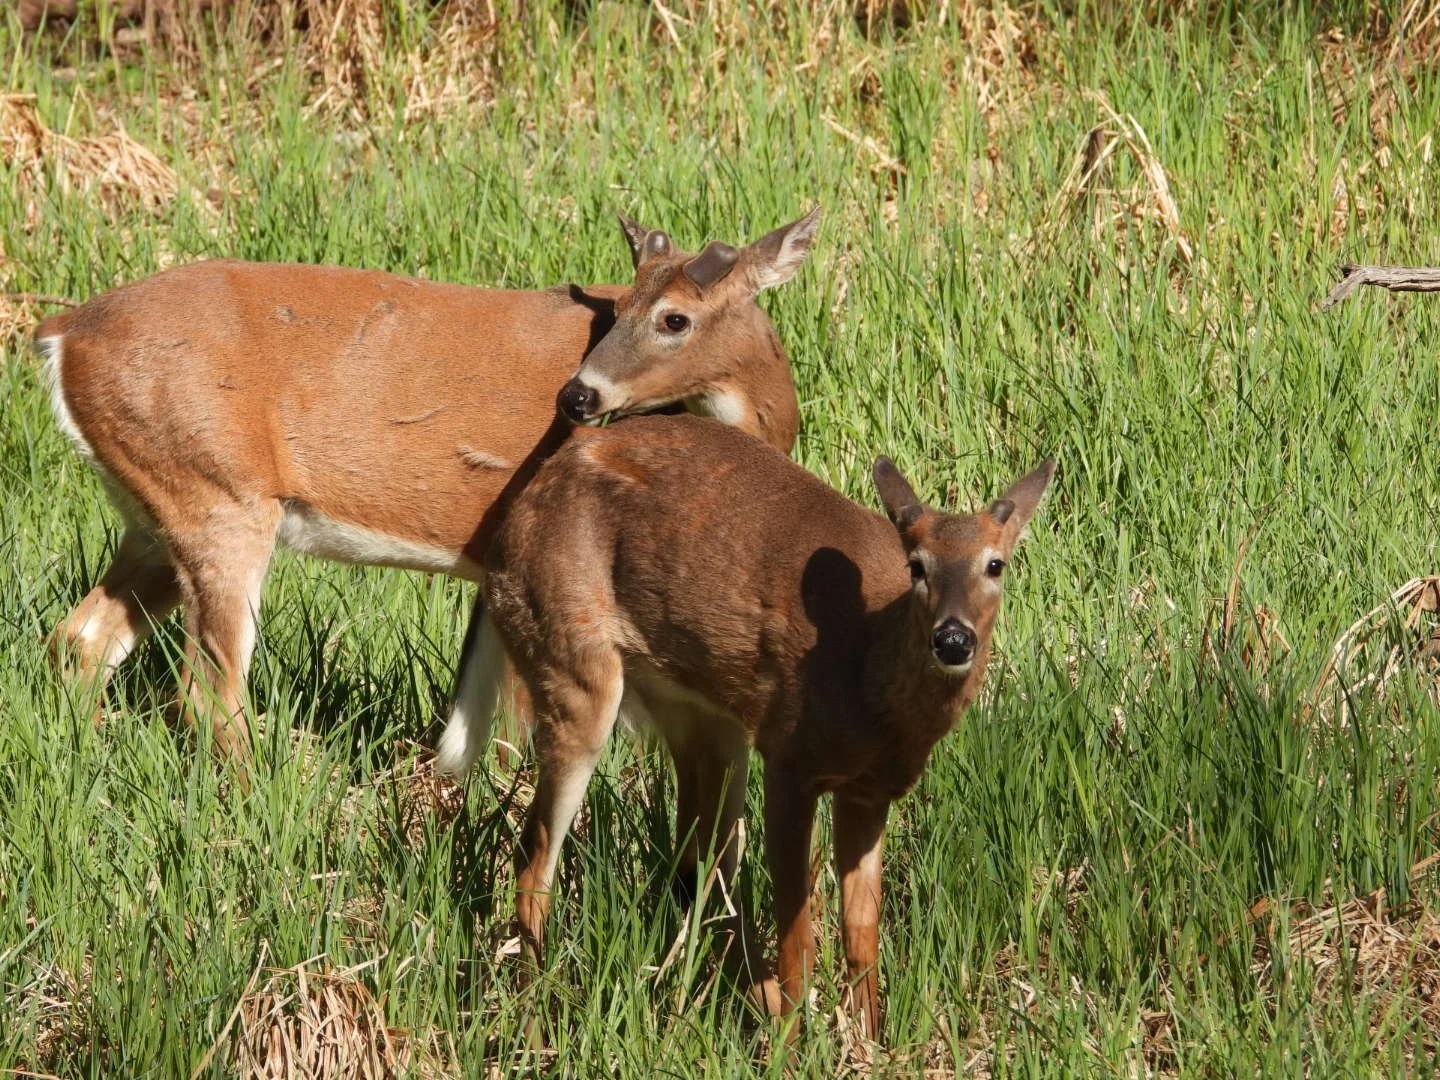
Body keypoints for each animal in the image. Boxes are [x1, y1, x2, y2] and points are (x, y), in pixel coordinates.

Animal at [36, 208, 820, 762]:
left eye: (674, 317)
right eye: (624, 307)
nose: (577, 398)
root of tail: (65, 331)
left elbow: (474, 731)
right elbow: (512, 733)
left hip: (155, 509)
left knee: (79, 639)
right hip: (220, 494)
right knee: (206, 692)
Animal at [435, 412, 1055, 1043]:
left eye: (996, 564)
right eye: (918, 566)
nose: (953, 639)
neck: (866, 675)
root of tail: (506, 531)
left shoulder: (869, 791)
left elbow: (862, 934)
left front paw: (869, 1041)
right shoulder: (788, 760)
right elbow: (798, 931)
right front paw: (799, 1043)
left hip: (704, 718)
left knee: (695, 866)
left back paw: (732, 998)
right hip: (573, 668)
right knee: (535, 856)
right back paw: (538, 1022)